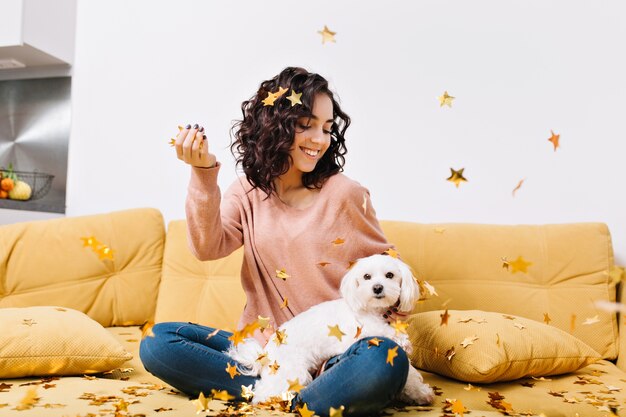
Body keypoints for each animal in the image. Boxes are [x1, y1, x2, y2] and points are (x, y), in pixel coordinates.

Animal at [225, 252, 434, 404]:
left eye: (390, 275)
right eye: (366, 276)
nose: (377, 288)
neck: (372, 310)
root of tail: (264, 354)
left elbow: (411, 372)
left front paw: (420, 392)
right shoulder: (358, 331)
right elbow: (383, 332)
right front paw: (402, 340)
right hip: (292, 371)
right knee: (263, 392)